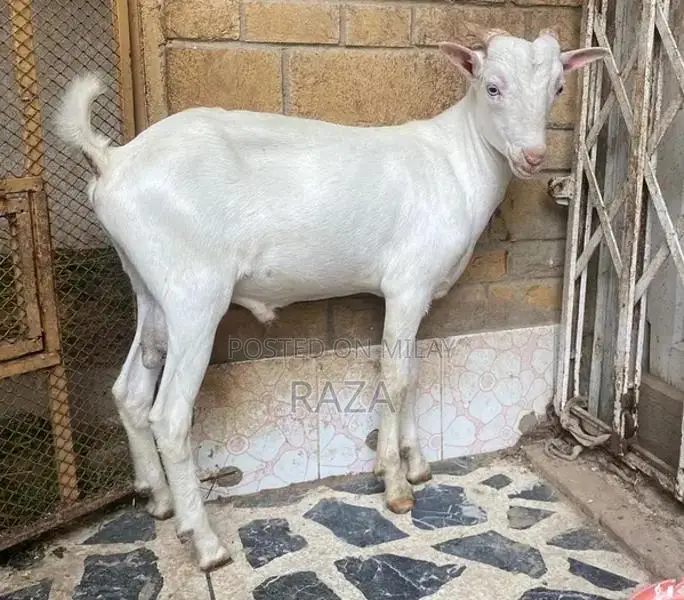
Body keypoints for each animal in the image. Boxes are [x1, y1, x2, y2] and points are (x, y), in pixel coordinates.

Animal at [57, 25, 607, 570]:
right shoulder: (406, 284)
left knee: (130, 389)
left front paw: (416, 464)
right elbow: (395, 376)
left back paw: (158, 498)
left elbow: (411, 372)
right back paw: (206, 543)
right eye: (492, 87)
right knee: (169, 415)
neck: (455, 161)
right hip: (195, 292)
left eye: (558, 88)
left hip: (149, 285)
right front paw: (396, 486)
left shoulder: (419, 295)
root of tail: (113, 160)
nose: (533, 157)